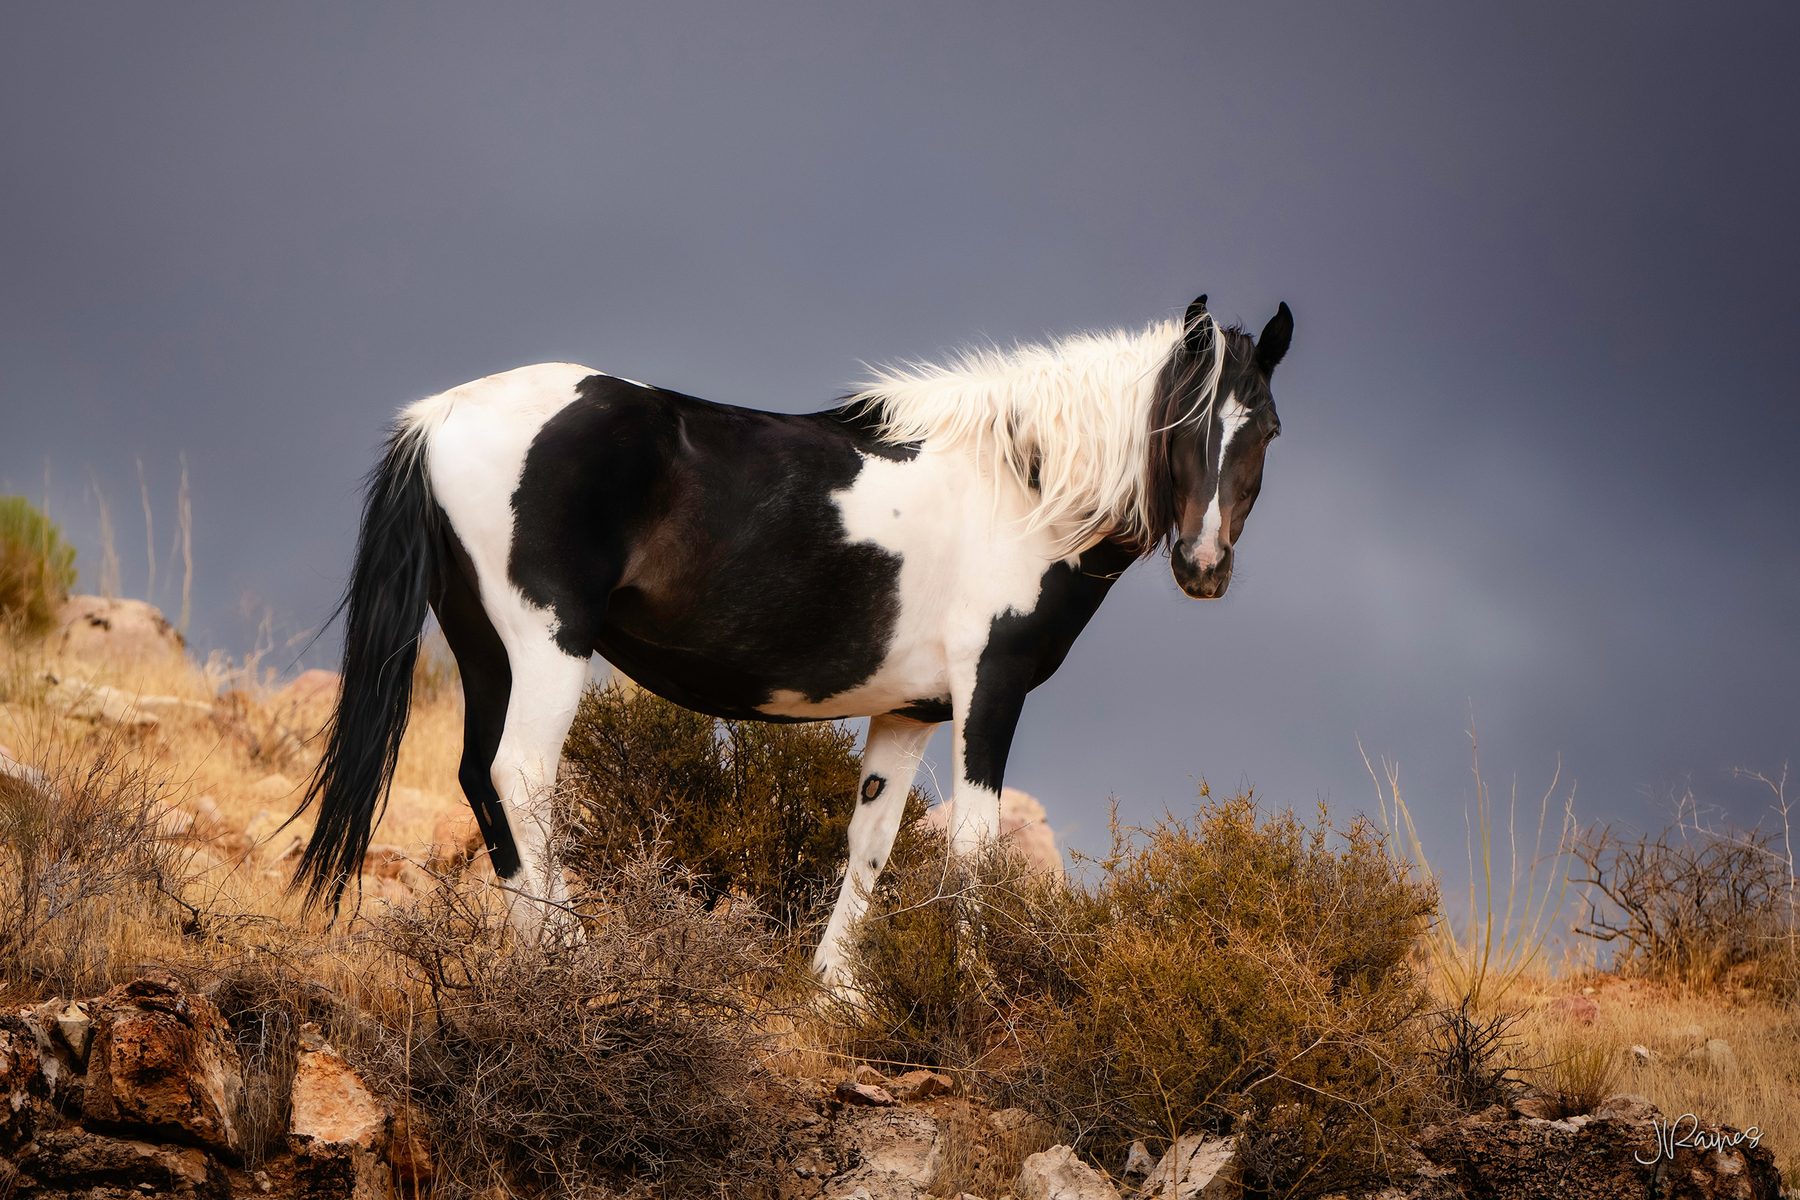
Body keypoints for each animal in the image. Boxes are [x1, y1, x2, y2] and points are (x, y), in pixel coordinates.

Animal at [293, 292, 1292, 984]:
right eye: (1182, 422)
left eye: (1268, 429)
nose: (1204, 565)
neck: (1023, 486)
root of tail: (440, 415)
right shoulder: (991, 691)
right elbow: (974, 845)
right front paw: (974, 993)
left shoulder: (913, 711)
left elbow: (873, 839)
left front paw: (838, 993)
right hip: (544, 644)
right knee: (522, 776)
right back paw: (573, 955)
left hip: (483, 648)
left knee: (479, 780)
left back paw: (532, 953)